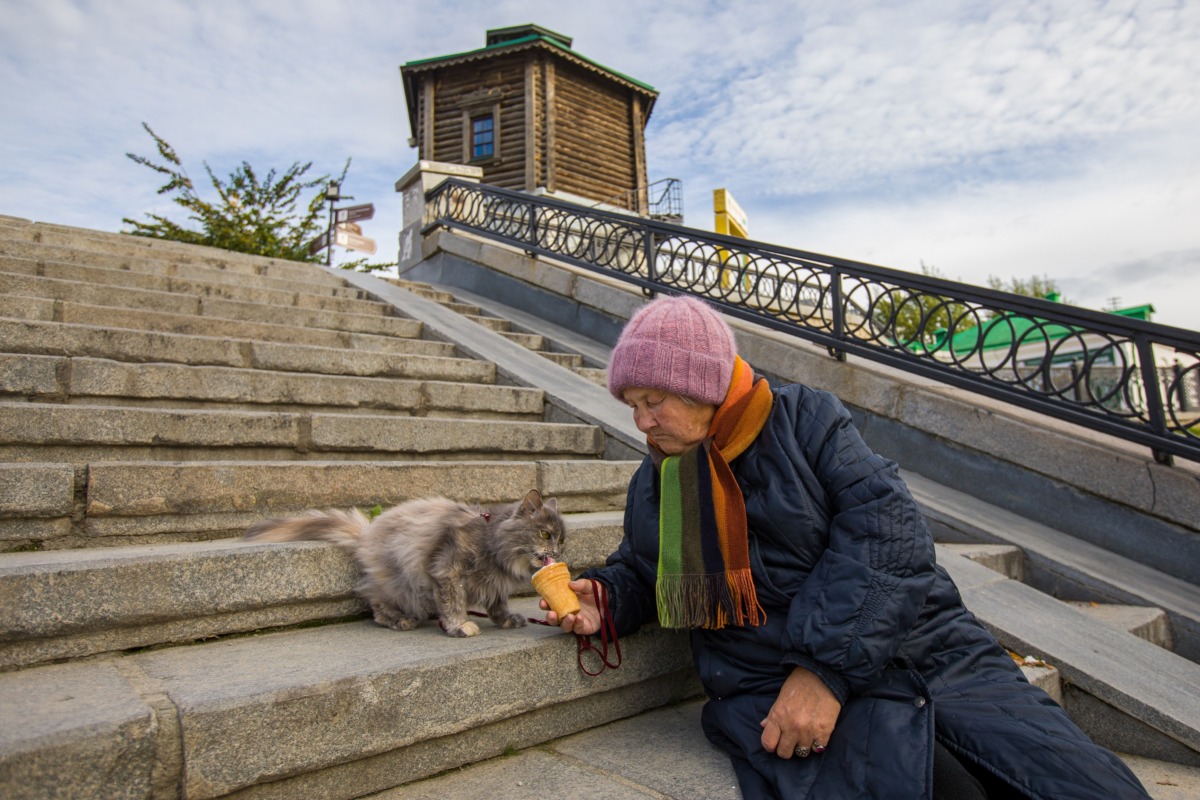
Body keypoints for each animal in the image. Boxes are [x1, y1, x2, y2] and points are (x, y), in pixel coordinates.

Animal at [243, 489, 566, 638]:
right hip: (401, 586)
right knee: (375, 604)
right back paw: (400, 620)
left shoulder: (495, 586)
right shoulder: (446, 570)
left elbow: (498, 605)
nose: (558, 552)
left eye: (562, 540)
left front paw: (506, 620)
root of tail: (366, 534)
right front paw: (459, 626)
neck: (495, 546)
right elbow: (453, 604)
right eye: (545, 534)